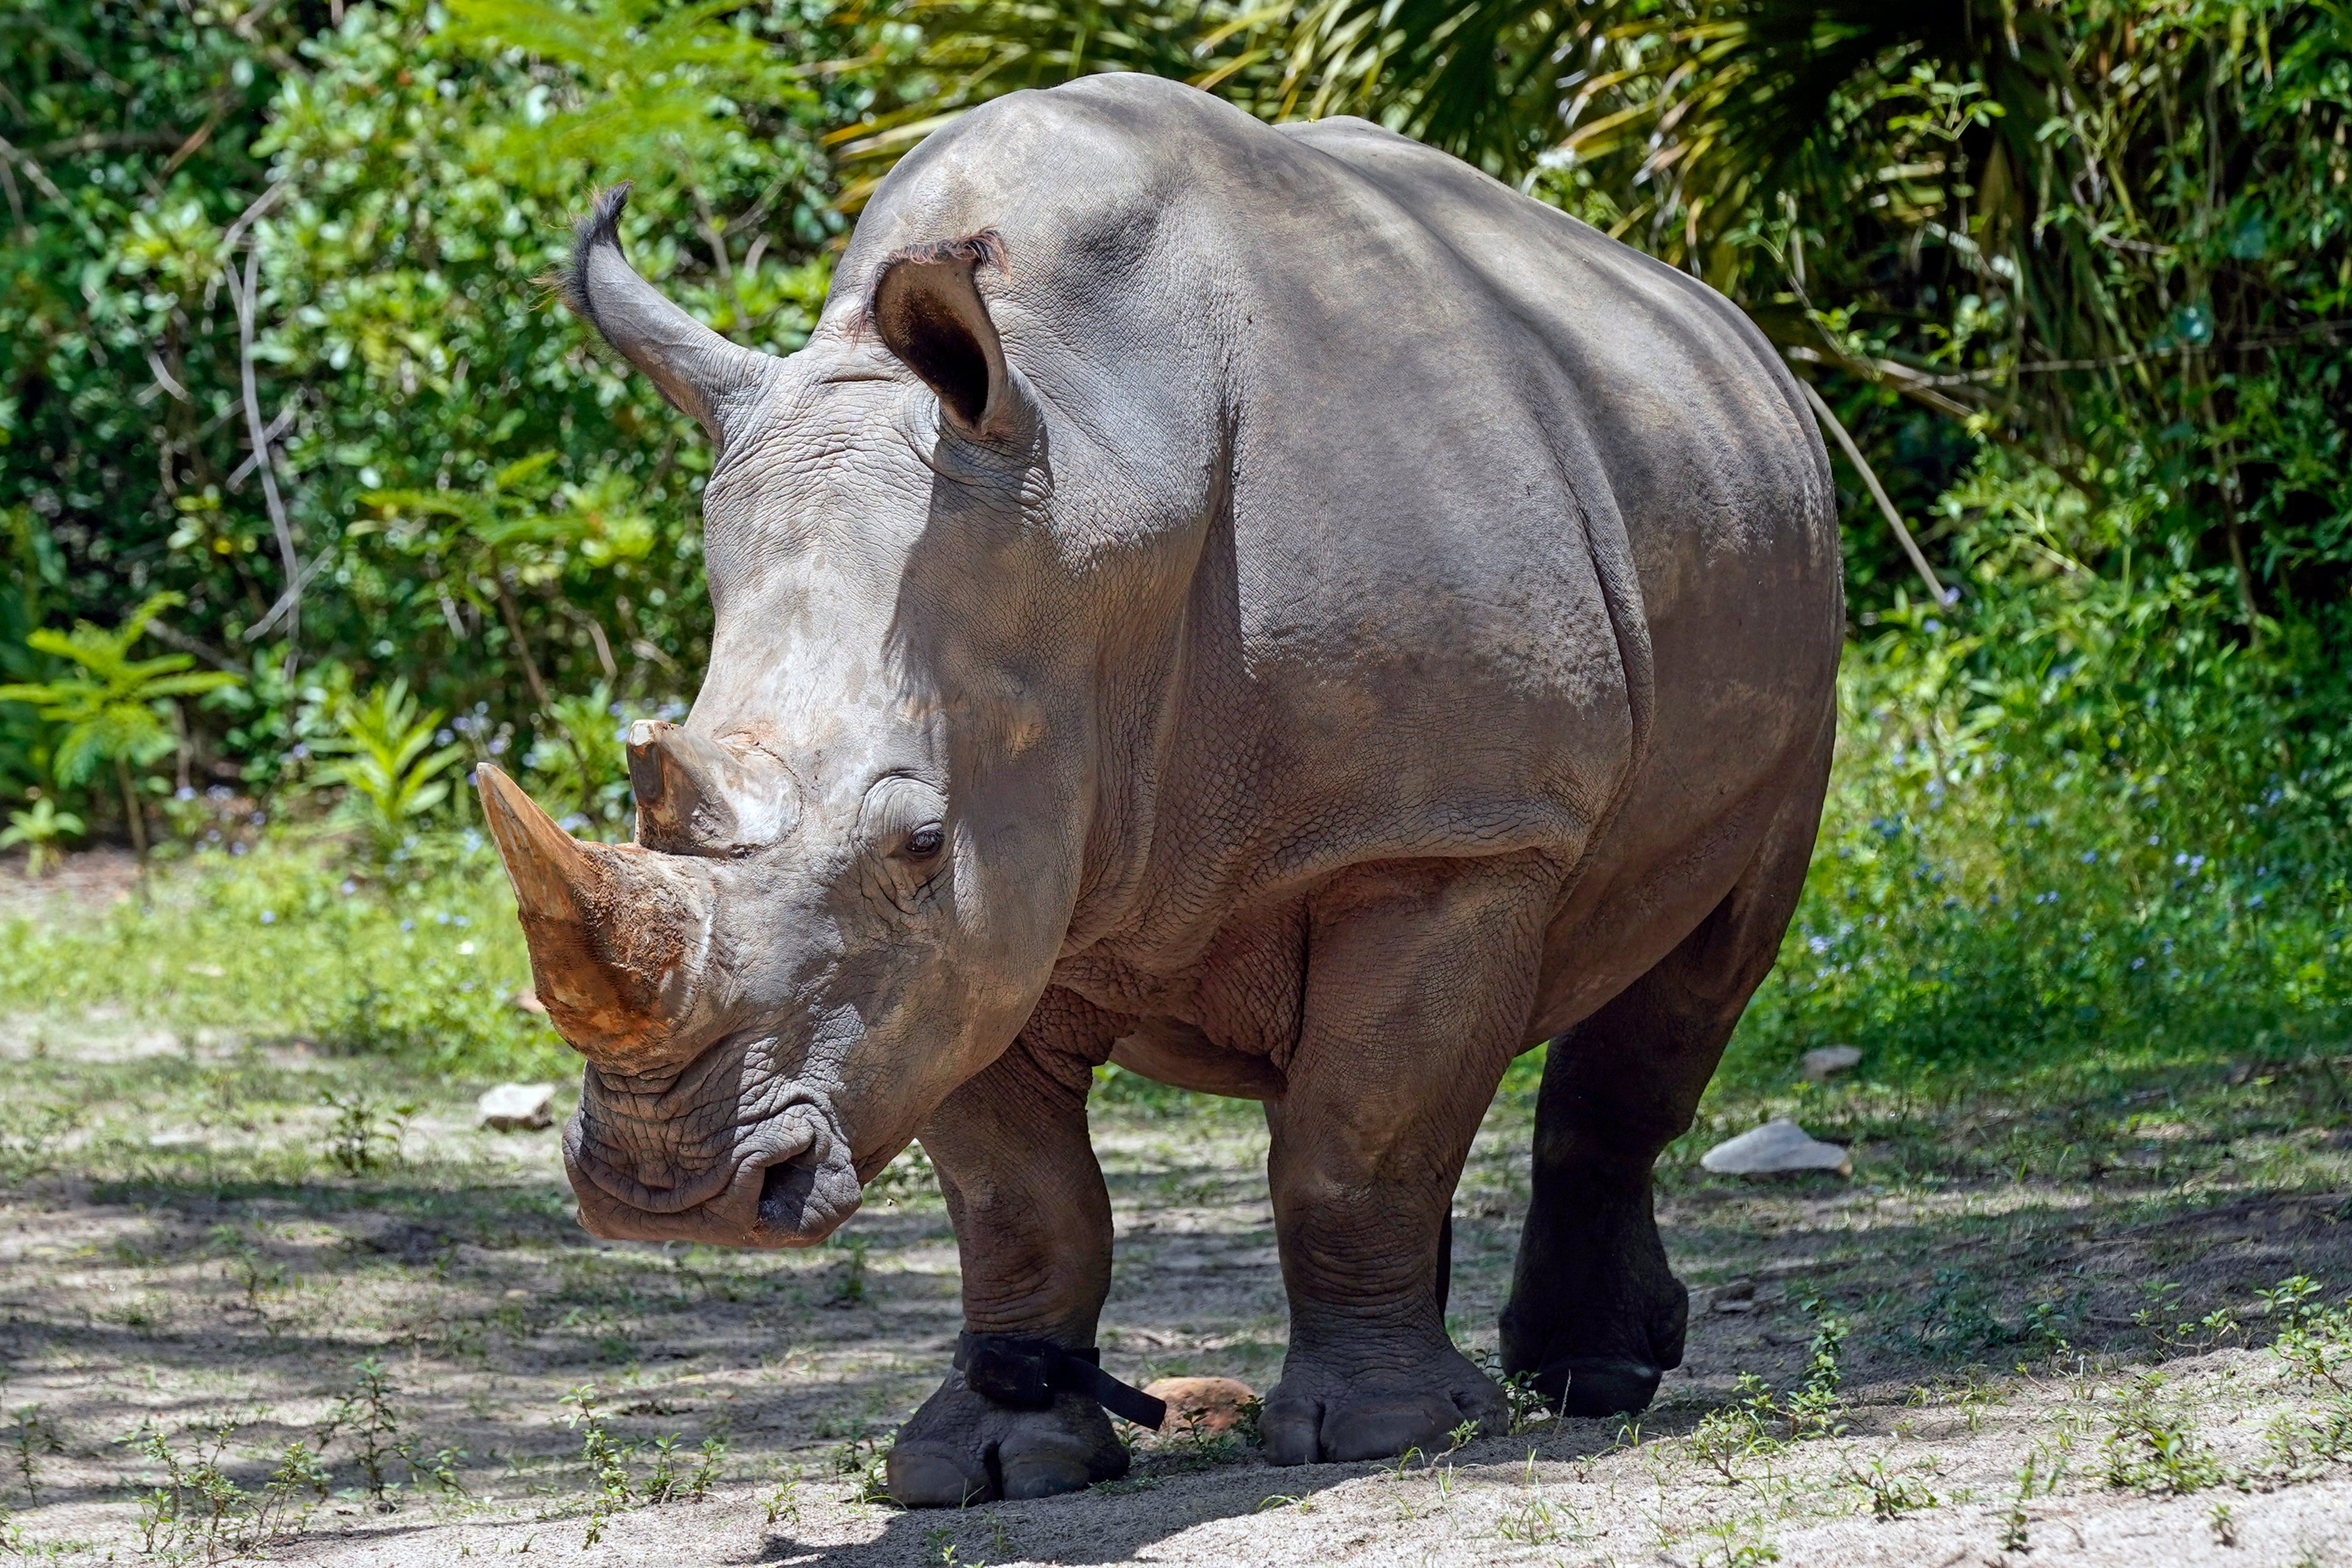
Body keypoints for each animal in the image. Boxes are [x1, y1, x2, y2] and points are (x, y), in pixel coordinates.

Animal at [477, 72, 1840, 1506]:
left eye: (920, 840)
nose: (667, 1191)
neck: (1097, 479)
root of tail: (1726, 331)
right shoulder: (982, 922)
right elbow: (1023, 1198)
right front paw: (991, 1462)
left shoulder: (1442, 838)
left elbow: (1356, 1140)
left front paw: (1389, 1437)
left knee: (1691, 971)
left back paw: (1589, 1379)